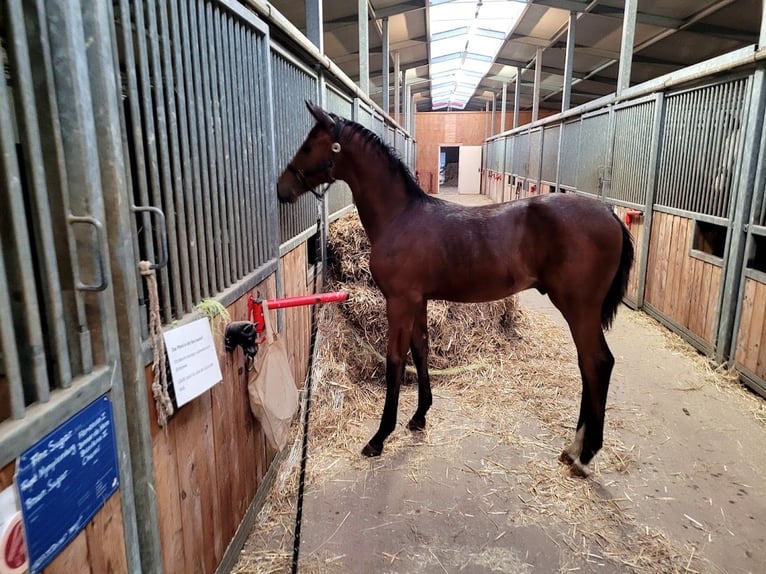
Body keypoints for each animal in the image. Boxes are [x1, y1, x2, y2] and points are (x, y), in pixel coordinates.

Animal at [276, 101, 636, 480]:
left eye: (308, 146)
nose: (281, 188)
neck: (400, 217)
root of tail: (610, 214)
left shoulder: (399, 302)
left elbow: (395, 359)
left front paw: (379, 437)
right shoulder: (417, 301)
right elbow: (420, 350)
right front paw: (419, 416)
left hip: (579, 307)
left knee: (596, 363)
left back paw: (585, 453)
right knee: (587, 365)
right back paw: (574, 449)